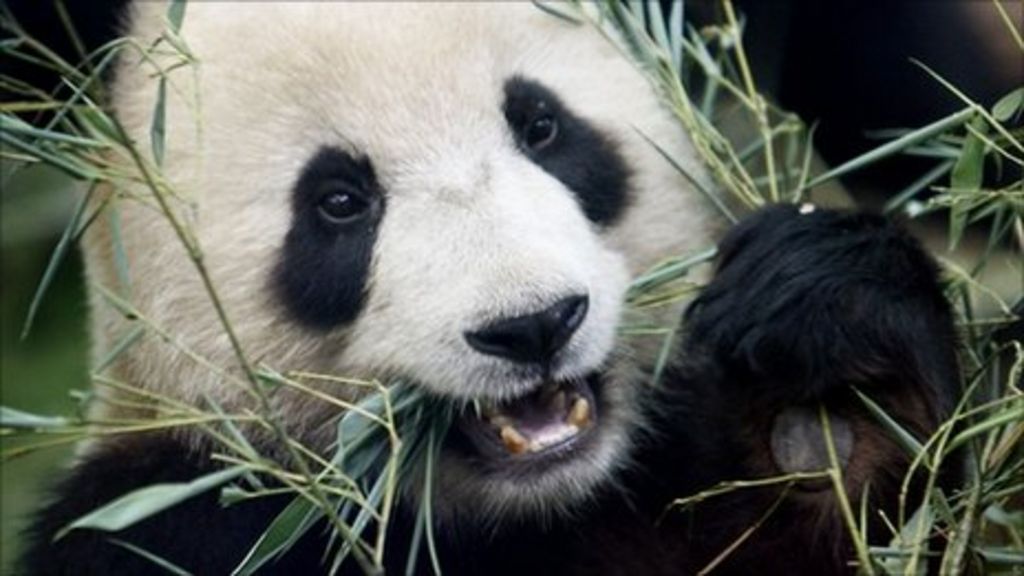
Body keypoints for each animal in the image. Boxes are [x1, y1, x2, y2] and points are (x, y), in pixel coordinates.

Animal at [14, 2, 958, 569]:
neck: (538, 508)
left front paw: (829, 369)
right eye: (339, 201)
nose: (534, 325)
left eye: (542, 126)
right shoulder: (174, 521)